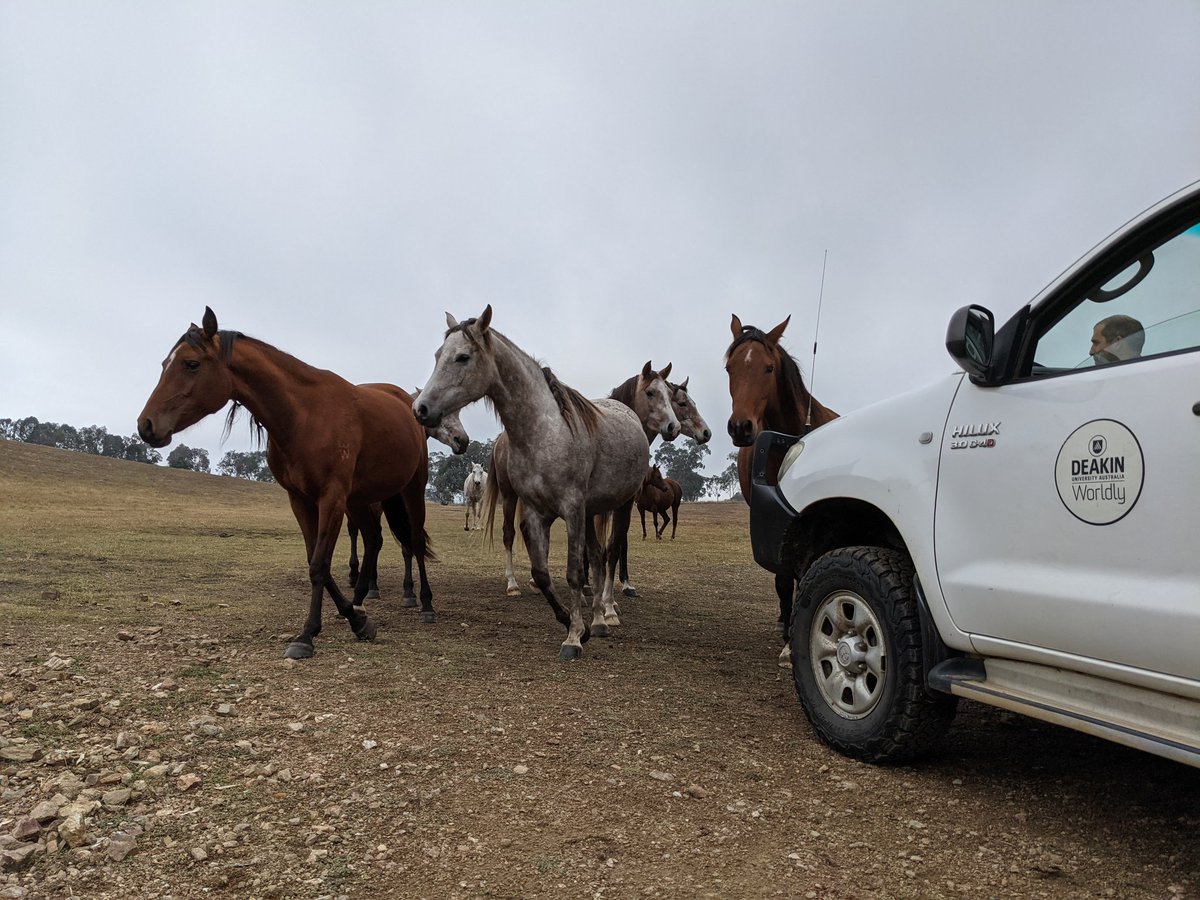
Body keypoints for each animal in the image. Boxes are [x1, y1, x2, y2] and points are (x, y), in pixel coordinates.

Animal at [137, 309, 436, 662]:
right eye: (164, 364)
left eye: (191, 364)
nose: (145, 425)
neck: (304, 416)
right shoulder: (300, 499)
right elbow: (315, 562)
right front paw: (356, 620)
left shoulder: (331, 498)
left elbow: (319, 565)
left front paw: (307, 635)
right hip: (363, 499)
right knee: (373, 540)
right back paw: (359, 602)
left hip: (411, 489)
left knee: (413, 540)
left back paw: (426, 604)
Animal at [415, 307, 676, 657]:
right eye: (437, 355)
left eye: (463, 357)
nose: (421, 409)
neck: (544, 433)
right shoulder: (537, 512)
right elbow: (541, 572)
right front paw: (573, 624)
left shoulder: (572, 509)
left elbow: (574, 573)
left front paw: (573, 638)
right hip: (591, 512)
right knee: (597, 557)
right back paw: (598, 621)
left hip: (617, 507)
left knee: (607, 554)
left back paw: (606, 613)